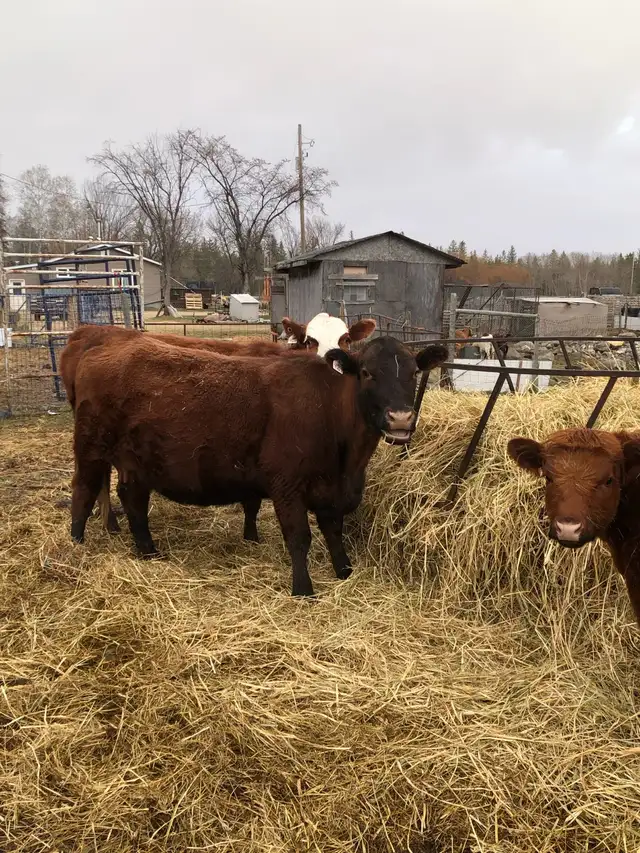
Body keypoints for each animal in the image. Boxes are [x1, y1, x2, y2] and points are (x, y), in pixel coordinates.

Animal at [69, 335, 448, 596]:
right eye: (367, 373)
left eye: (414, 372)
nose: (401, 418)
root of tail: (101, 349)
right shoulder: (287, 485)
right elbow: (299, 538)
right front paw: (304, 589)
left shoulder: (331, 490)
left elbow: (333, 531)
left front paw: (344, 570)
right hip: (90, 448)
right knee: (84, 490)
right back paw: (76, 542)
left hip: (137, 462)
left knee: (132, 499)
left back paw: (148, 550)